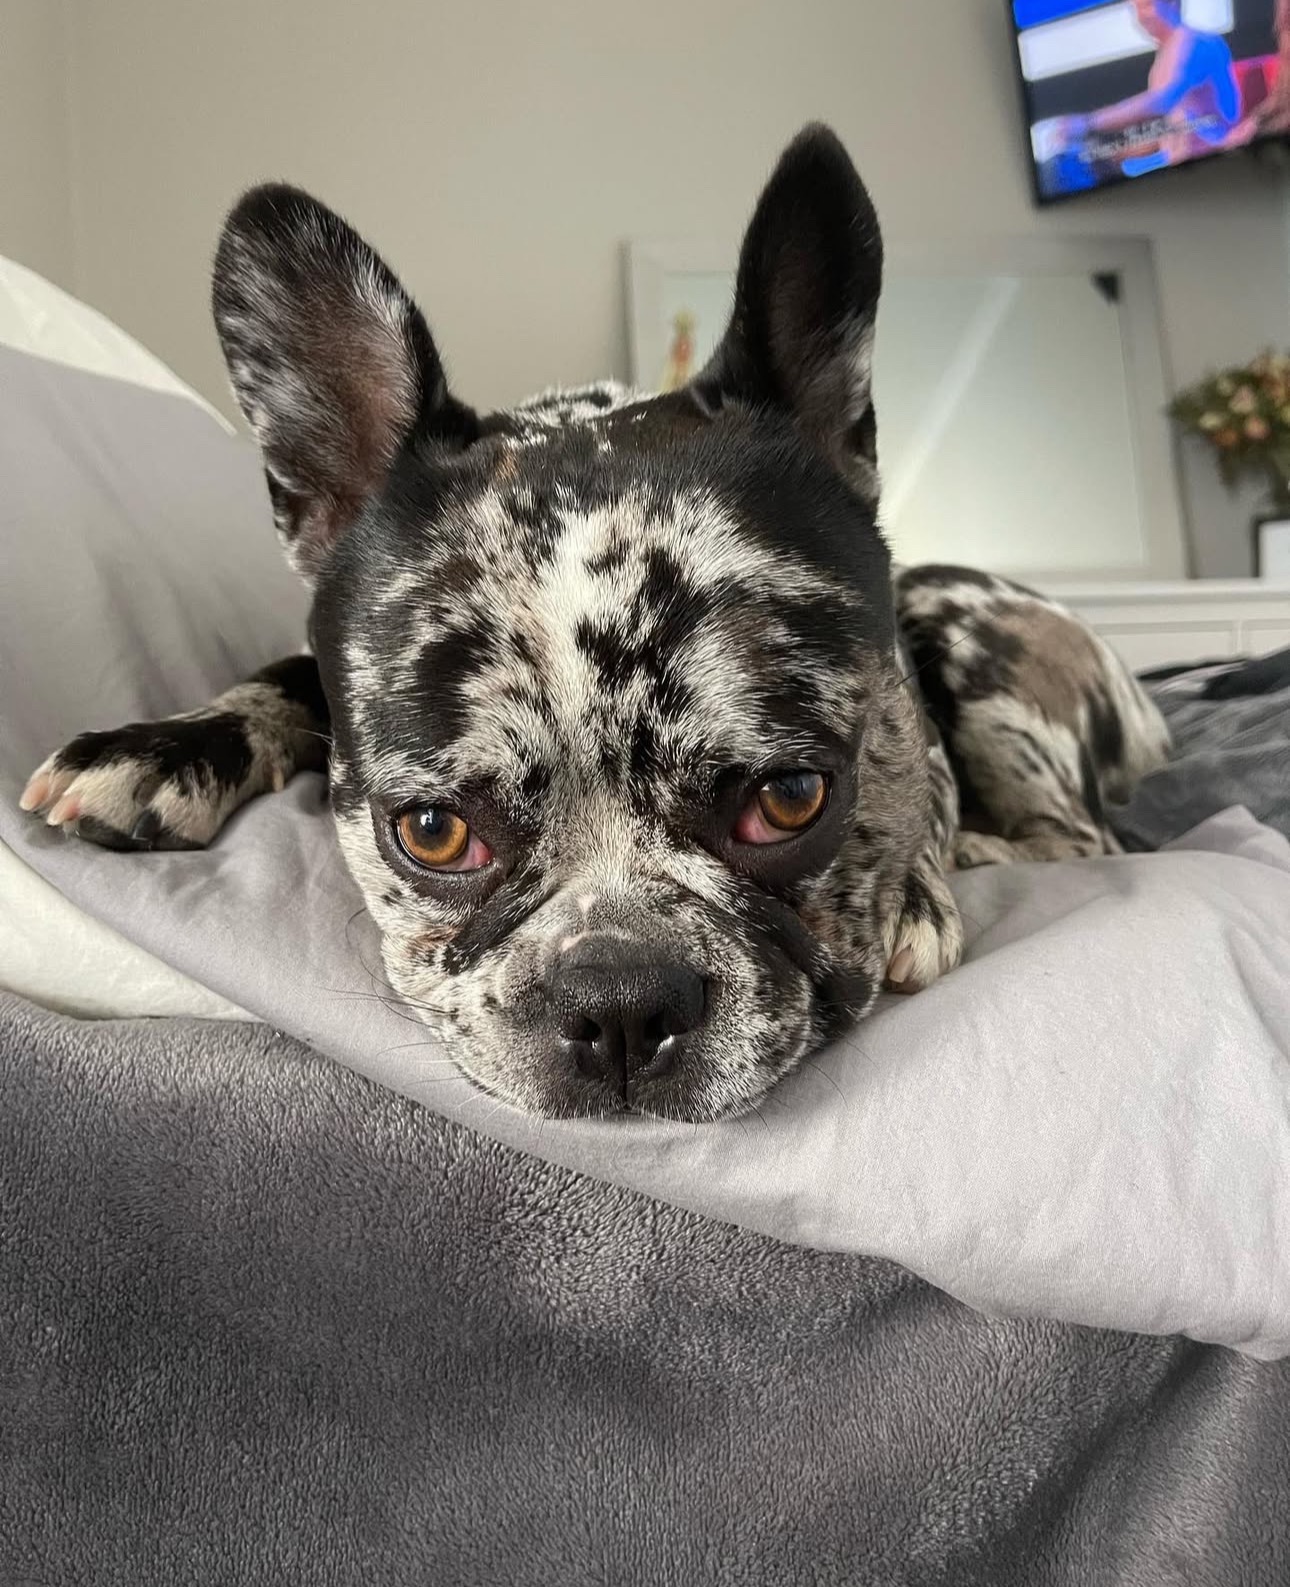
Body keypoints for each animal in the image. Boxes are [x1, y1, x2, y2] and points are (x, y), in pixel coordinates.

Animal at [19, 125, 1170, 1121]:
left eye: (793, 800)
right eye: (431, 832)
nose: (620, 996)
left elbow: (919, 785)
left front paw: (922, 881)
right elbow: (278, 679)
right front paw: (163, 745)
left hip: (961, 622)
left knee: (1075, 832)